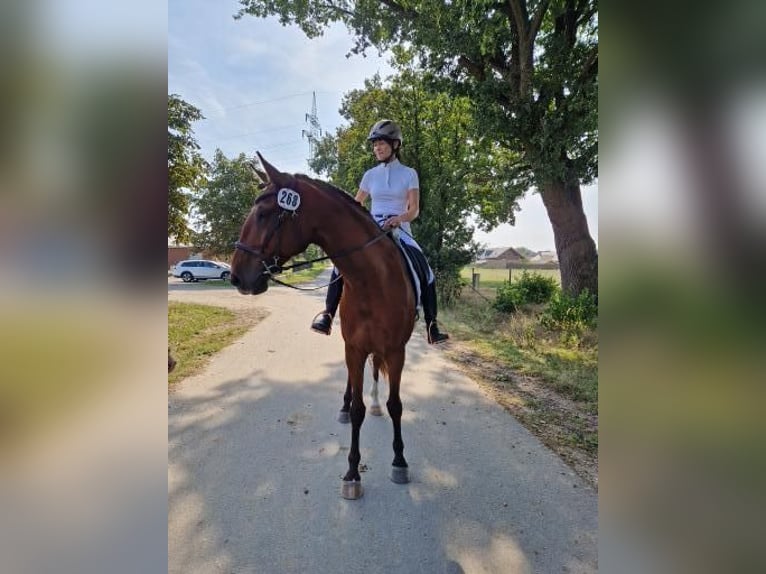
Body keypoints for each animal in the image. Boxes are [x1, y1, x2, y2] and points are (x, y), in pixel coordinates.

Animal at [231, 153, 416, 500]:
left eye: (263, 214)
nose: (236, 277)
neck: (372, 281)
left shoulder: (396, 351)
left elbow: (396, 405)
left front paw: (399, 461)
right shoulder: (353, 347)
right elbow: (356, 409)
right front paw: (352, 473)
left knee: (375, 373)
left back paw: (375, 402)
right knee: (353, 385)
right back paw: (346, 405)